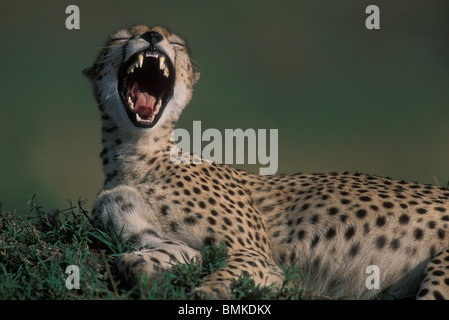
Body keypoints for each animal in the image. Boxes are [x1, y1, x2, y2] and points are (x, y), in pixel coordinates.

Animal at [85, 25, 448, 300]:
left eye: (175, 42)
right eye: (121, 38)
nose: (152, 36)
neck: (137, 156)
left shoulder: (257, 256)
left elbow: (223, 278)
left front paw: (206, 291)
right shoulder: (160, 238)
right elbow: (132, 258)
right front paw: (151, 277)